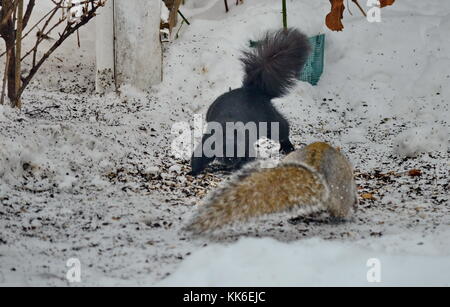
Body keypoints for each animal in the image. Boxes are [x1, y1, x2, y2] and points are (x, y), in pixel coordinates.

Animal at [188, 29, 312, 178]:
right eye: (221, 149)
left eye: (238, 148)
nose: (231, 160)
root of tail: (252, 90)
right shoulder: (208, 142)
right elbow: (199, 157)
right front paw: (192, 172)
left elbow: (249, 157)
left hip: (270, 119)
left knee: (282, 128)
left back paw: (287, 146)